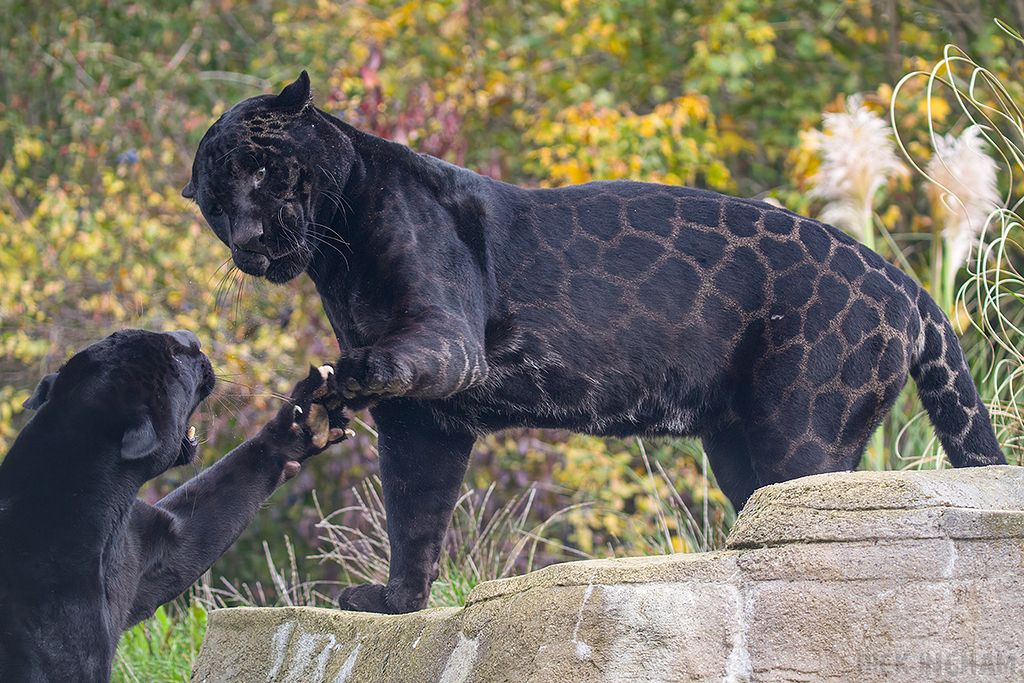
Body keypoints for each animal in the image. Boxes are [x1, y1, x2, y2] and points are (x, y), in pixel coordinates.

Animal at [183, 71, 1005, 615]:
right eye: (217, 204)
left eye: (264, 168)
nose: (249, 241)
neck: (336, 254)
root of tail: (907, 285)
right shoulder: (423, 422)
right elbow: (414, 514)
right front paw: (395, 601)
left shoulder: (446, 340)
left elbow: (394, 382)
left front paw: (335, 380)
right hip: (737, 445)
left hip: (801, 428)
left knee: (814, 513)